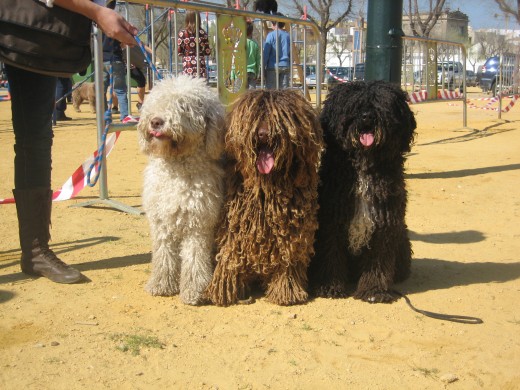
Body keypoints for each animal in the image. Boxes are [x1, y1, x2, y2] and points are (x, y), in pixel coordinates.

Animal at [205, 90, 322, 306]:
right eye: (255, 116)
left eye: (282, 118)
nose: (263, 133)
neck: (266, 190)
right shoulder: (235, 233)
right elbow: (229, 259)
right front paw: (223, 290)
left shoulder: (290, 240)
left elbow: (287, 264)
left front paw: (286, 292)